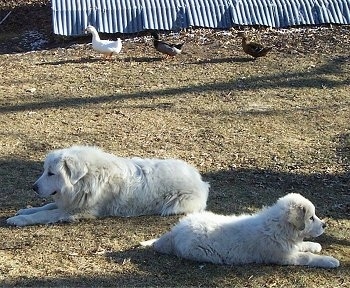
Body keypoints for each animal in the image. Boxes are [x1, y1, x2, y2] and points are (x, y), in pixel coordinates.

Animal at [6, 146, 209, 227]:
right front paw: (24, 210)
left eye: (51, 173)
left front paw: (19, 220)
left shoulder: (76, 211)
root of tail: (201, 180)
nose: (33, 187)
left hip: (176, 205)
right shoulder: (69, 202)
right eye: (45, 171)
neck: (85, 180)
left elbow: (44, 214)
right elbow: (46, 206)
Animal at [142, 192, 340, 268]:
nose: (325, 225)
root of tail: (174, 233)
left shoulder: (288, 246)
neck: (278, 227)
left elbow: (304, 245)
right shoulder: (283, 256)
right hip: (200, 252)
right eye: (311, 218)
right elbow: (307, 257)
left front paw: (314, 245)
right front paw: (329, 260)